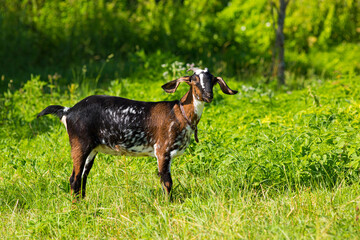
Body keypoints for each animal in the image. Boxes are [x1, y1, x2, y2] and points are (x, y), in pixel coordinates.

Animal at [38, 67, 238, 199]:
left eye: (213, 80)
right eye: (194, 80)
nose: (208, 96)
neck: (178, 113)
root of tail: (68, 111)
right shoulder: (162, 150)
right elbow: (167, 182)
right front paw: (168, 206)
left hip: (92, 150)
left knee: (82, 179)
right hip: (80, 144)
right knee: (74, 179)